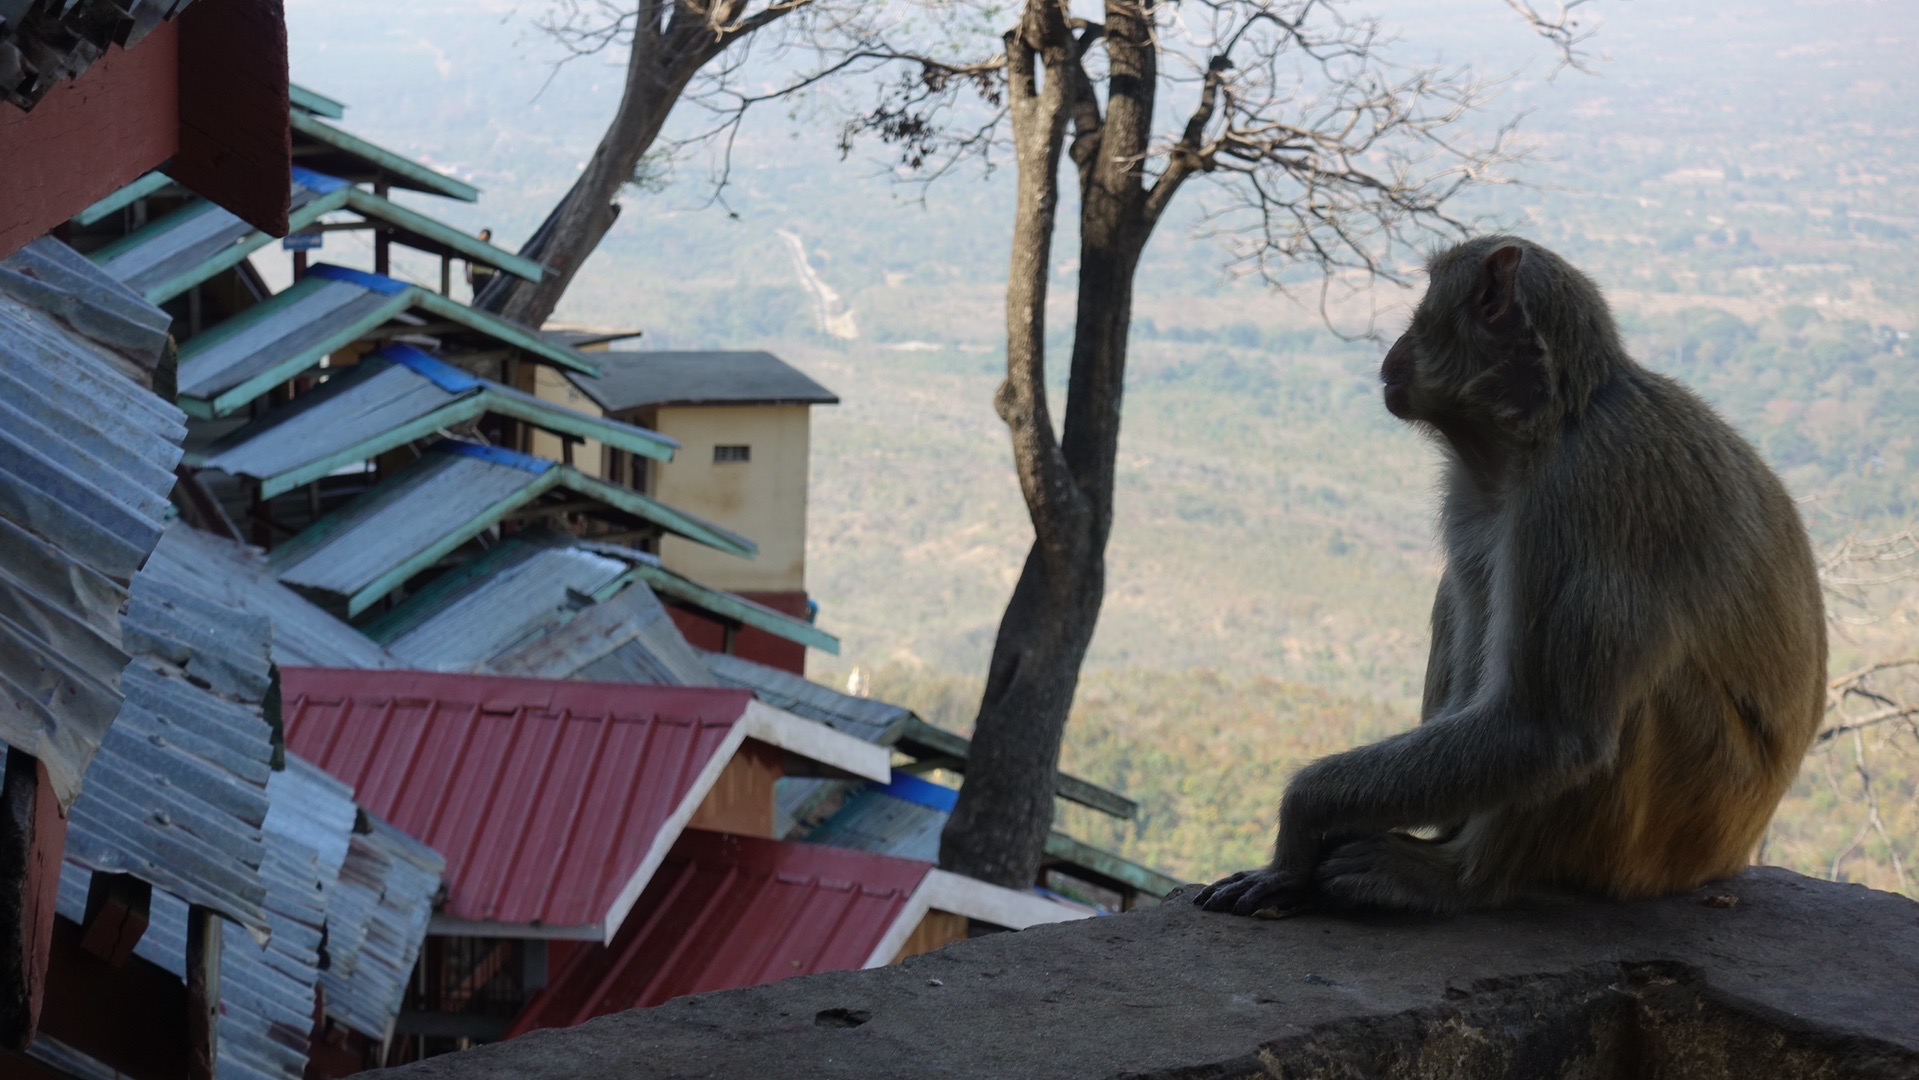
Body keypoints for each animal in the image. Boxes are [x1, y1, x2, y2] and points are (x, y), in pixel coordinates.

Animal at [1197, 234, 1826, 913]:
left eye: (1423, 307)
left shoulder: (1581, 493)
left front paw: (1303, 820)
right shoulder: (1470, 495)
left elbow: (1542, 730)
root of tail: (1730, 859)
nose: (1394, 347)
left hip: (1676, 830)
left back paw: (1458, 879)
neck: (1550, 423)